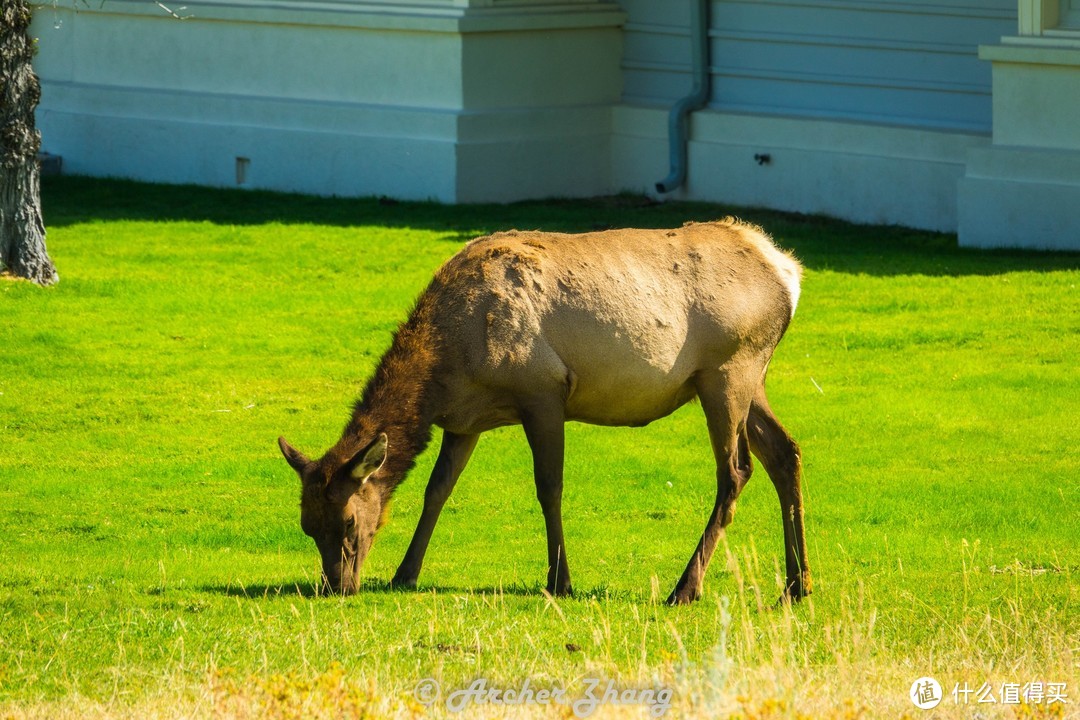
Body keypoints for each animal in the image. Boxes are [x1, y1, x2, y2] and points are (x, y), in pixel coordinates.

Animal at [276, 218, 812, 604]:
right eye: (307, 525)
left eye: (348, 522)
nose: (337, 586)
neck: (450, 363)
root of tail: (788, 272)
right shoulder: (464, 421)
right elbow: (437, 490)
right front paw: (405, 573)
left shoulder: (544, 391)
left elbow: (548, 487)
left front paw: (560, 580)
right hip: (747, 376)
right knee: (785, 453)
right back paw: (797, 584)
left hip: (728, 369)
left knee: (736, 471)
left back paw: (686, 587)